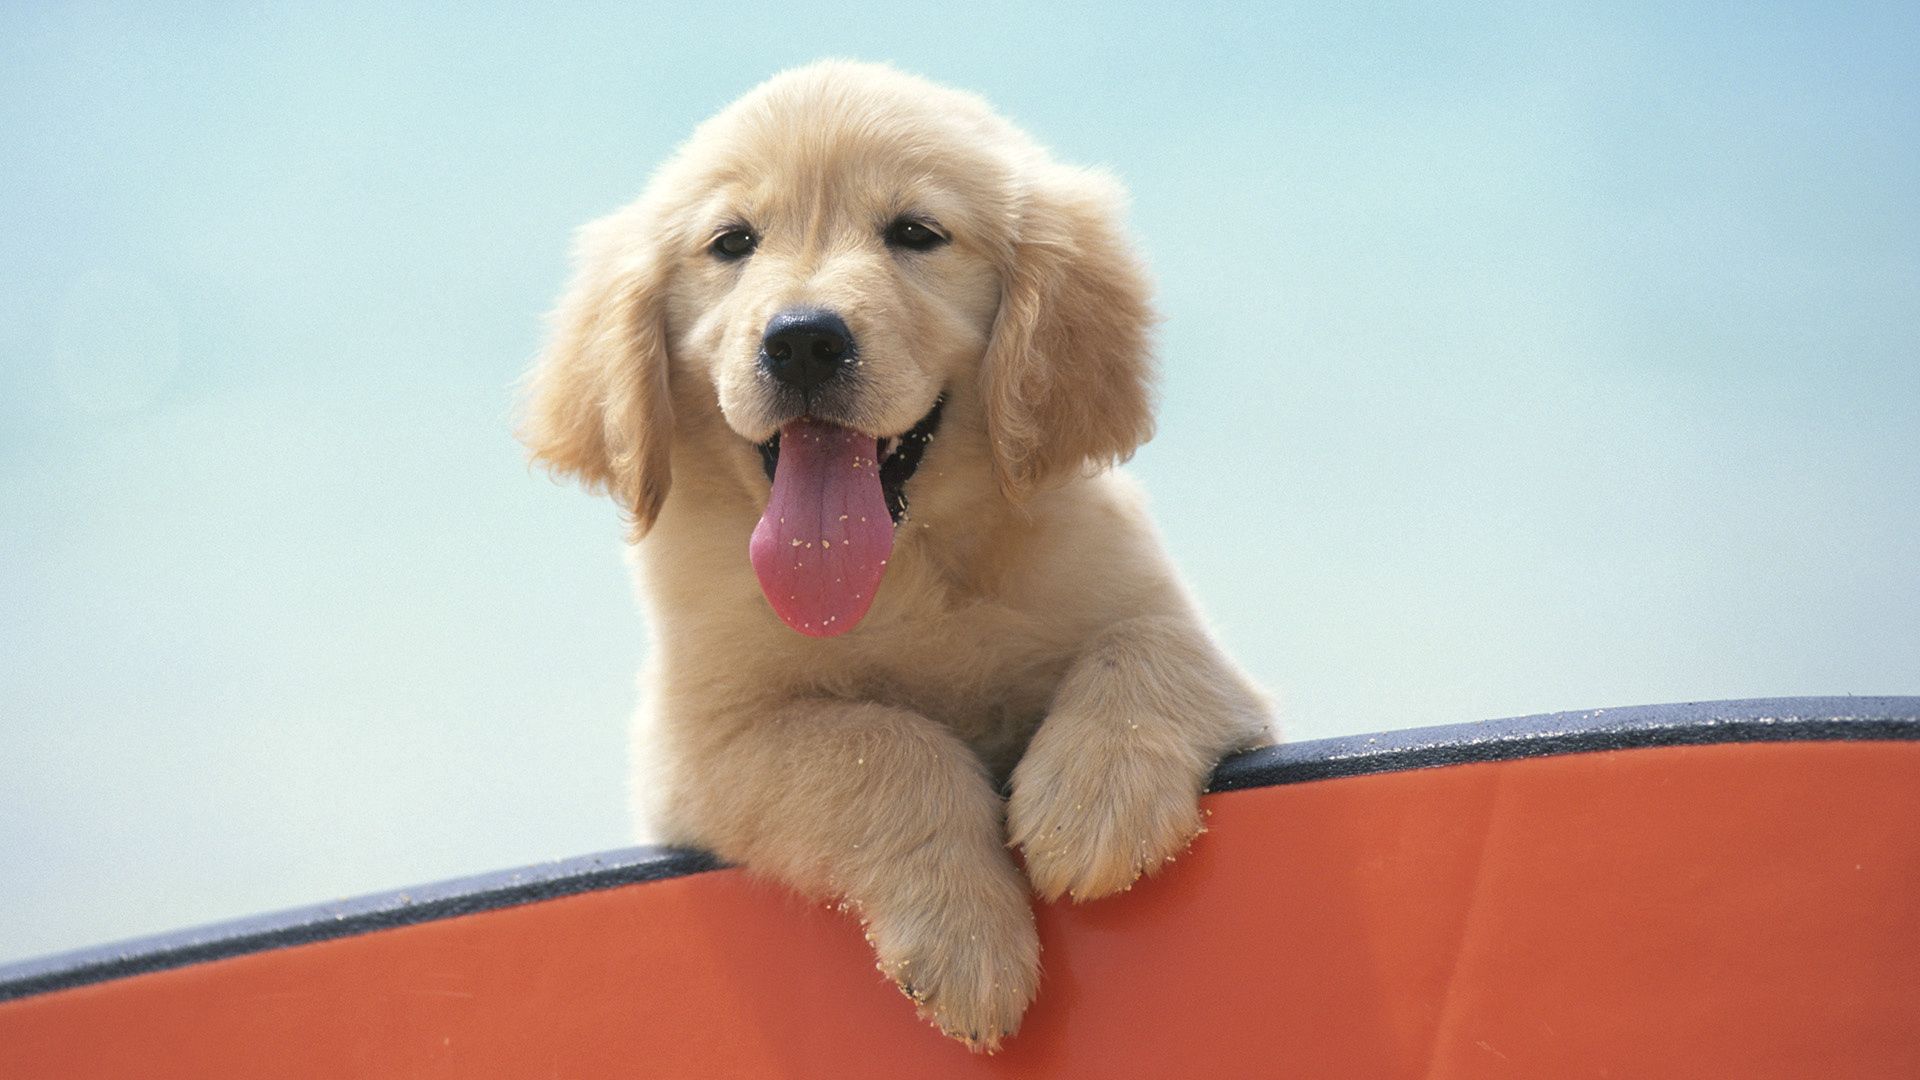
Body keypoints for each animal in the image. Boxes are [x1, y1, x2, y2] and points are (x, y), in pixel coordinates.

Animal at [522, 62, 1274, 1045]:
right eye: (732, 242)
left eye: (916, 233)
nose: (803, 339)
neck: (900, 568)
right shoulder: (700, 749)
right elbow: (878, 740)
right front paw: (967, 942)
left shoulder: (1193, 646)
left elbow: (1151, 640)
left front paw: (1096, 800)